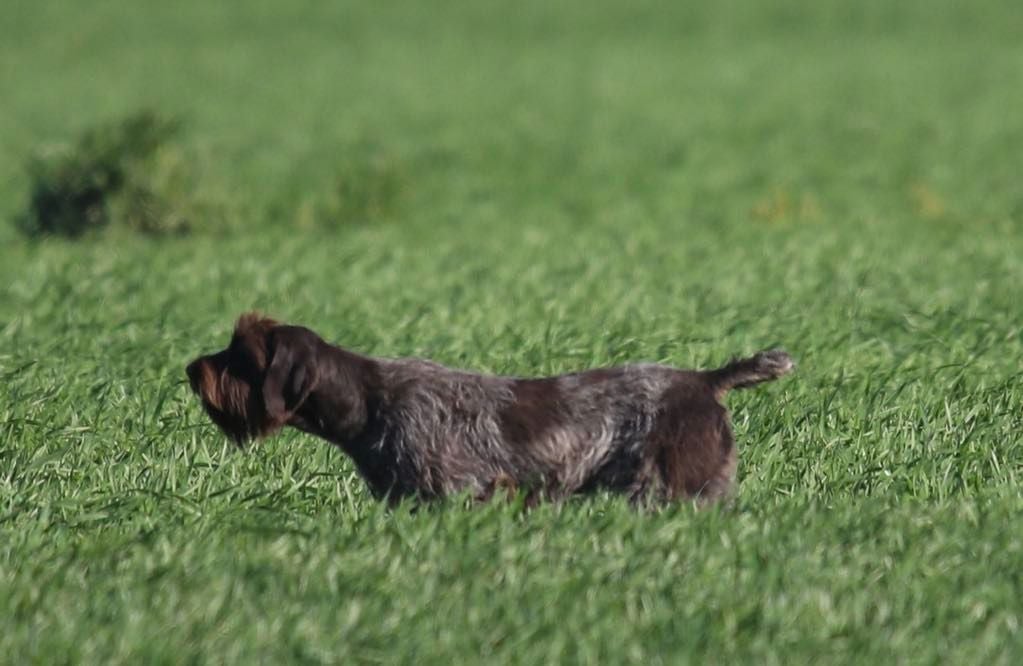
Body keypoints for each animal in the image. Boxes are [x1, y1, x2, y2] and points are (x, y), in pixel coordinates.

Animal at [184, 313, 793, 505]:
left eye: (241, 357)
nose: (191, 370)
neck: (369, 405)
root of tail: (704, 381)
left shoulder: (462, 495)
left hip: (672, 492)